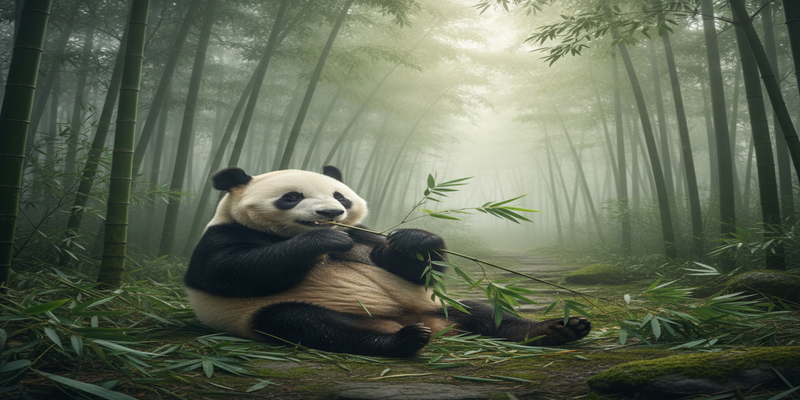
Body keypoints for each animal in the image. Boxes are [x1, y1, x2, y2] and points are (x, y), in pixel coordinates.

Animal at [184, 166, 590, 358]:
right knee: (309, 324)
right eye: (291, 196)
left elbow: (409, 267)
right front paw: (321, 240)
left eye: (340, 197)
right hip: (275, 314)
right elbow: (231, 271)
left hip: (440, 305)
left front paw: (416, 240)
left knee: (481, 310)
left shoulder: (365, 235)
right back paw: (403, 341)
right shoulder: (221, 237)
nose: (330, 214)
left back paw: (555, 329)